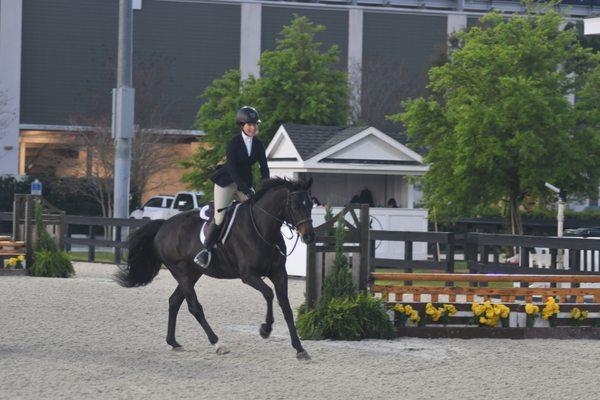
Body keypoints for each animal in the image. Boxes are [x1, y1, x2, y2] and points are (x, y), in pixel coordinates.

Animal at [114, 177, 316, 360]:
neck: (262, 228)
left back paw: (174, 342)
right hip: (181, 271)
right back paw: (218, 344)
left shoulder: (279, 273)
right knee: (194, 307)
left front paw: (299, 349)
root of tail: (163, 224)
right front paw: (265, 329)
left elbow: (286, 308)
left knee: (174, 301)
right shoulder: (248, 275)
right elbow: (268, 294)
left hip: (193, 273)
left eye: (311, 204)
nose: (309, 237)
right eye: (296, 206)